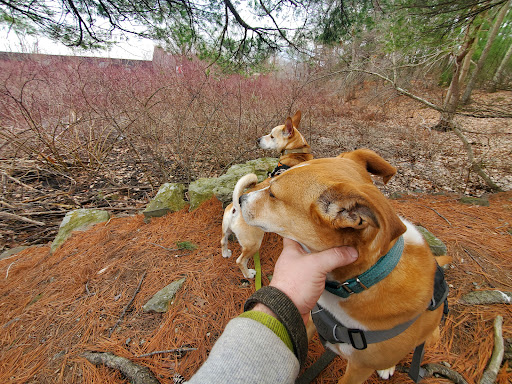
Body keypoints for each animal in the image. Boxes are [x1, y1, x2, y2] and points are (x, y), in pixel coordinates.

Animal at [220, 111, 312, 280]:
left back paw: (225, 253)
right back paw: (248, 274)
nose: (257, 140)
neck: (296, 152)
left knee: (223, 241)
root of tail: (236, 208)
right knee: (240, 260)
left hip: (226, 230)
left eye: (272, 136)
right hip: (253, 243)